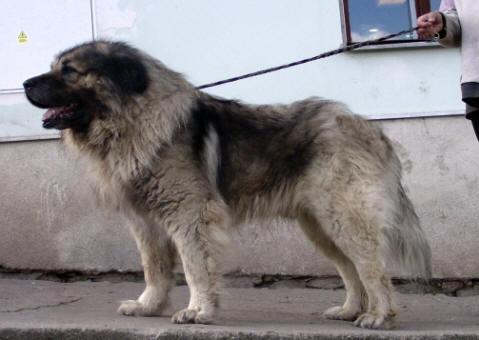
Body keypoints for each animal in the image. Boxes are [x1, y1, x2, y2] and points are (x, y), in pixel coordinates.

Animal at [23, 40, 432, 330]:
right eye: (53, 68)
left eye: (69, 70)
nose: (24, 82)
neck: (134, 119)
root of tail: (371, 129)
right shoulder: (147, 223)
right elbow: (154, 268)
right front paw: (149, 306)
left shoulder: (189, 216)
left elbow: (194, 268)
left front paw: (197, 311)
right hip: (320, 226)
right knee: (351, 269)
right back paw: (349, 310)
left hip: (344, 218)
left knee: (372, 268)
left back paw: (379, 316)